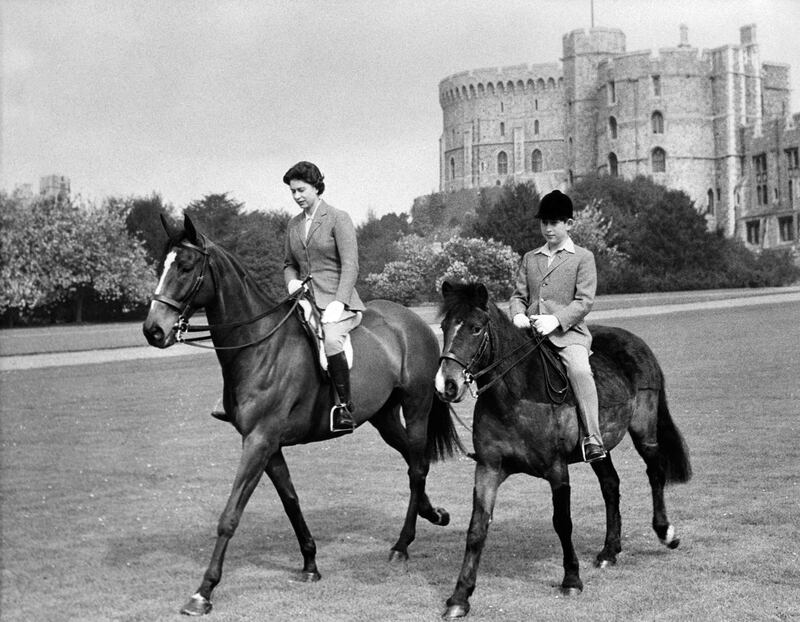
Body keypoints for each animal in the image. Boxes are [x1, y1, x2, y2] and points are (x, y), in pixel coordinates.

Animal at [141, 217, 460, 616]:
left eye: (184, 267)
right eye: (161, 266)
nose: (153, 330)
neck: (260, 344)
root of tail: (413, 321)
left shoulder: (259, 442)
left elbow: (230, 515)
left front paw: (203, 591)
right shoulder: (268, 445)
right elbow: (291, 501)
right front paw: (310, 564)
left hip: (416, 407)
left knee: (417, 467)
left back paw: (402, 545)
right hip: (383, 417)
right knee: (412, 460)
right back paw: (434, 514)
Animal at [434, 282, 692, 620]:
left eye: (476, 328)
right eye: (444, 327)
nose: (447, 385)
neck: (515, 396)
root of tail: (637, 344)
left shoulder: (557, 470)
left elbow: (562, 523)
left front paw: (571, 579)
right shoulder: (488, 468)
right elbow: (477, 529)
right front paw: (460, 597)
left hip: (644, 431)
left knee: (655, 472)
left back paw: (665, 533)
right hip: (599, 447)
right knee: (611, 485)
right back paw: (609, 551)